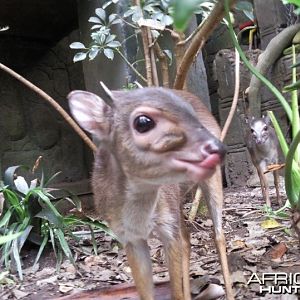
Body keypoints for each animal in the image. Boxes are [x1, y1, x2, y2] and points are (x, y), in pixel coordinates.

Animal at [68, 85, 234, 298]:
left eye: (190, 112)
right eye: (143, 122)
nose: (218, 148)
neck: (140, 218)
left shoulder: (168, 227)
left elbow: (176, 289)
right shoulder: (129, 238)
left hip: (208, 182)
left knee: (217, 234)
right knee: (187, 238)